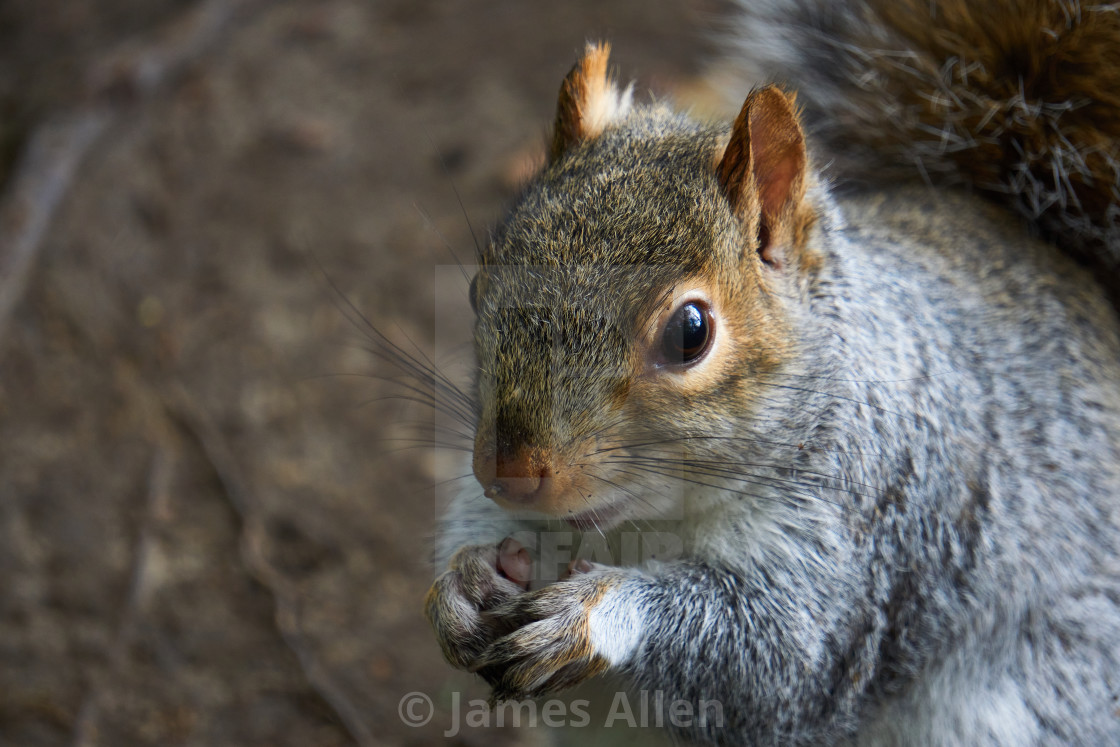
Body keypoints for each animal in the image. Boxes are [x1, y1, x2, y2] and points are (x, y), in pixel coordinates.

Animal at [418, 2, 1120, 743]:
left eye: (690, 332)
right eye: (478, 287)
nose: (509, 473)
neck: (649, 523)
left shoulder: (866, 535)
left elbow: (778, 660)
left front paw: (593, 611)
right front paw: (461, 583)